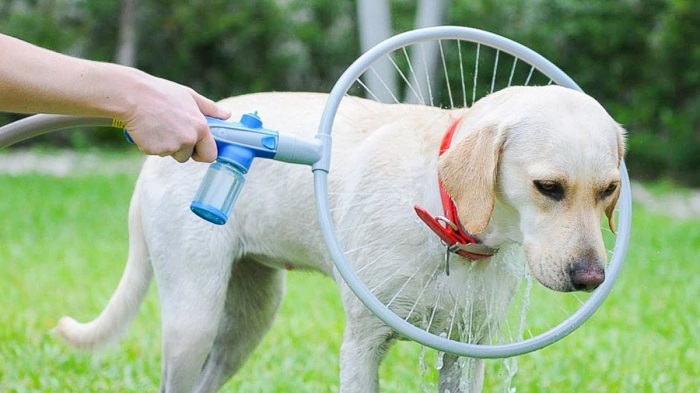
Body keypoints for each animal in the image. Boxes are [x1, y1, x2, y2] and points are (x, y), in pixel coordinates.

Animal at [54, 86, 624, 392]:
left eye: (610, 190)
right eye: (548, 188)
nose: (591, 277)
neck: (444, 221)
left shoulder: (467, 350)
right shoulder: (362, 347)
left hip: (249, 320)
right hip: (193, 319)